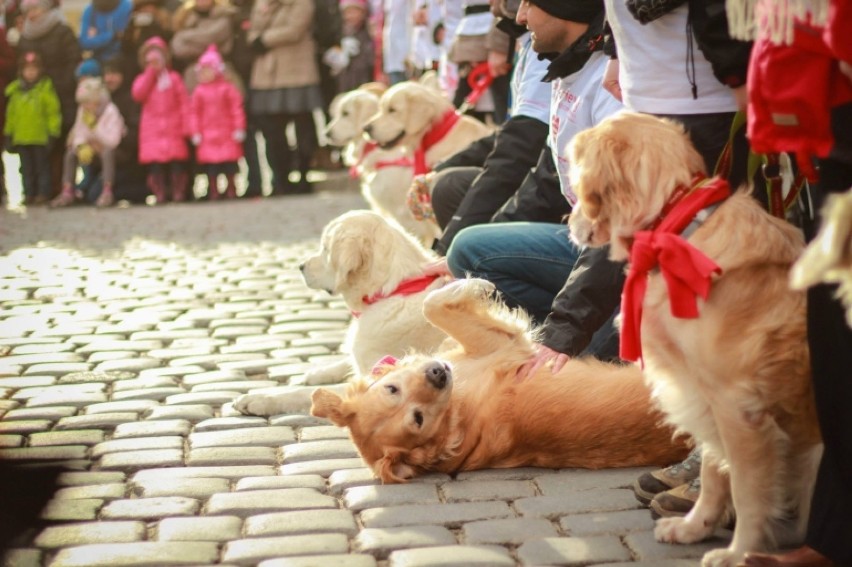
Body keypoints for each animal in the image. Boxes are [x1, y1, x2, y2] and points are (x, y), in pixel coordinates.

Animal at [233, 213, 446, 418]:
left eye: (326, 249)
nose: (301, 266)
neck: (392, 291)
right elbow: (345, 361)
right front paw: (318, 372)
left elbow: (304, 393)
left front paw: (259, 399)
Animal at [568, 112, 824, 567]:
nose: (567, 222)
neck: (676, 227)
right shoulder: (705, 394)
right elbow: (713, 469)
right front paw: (695, 527)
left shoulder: (739, 406)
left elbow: (748, 489)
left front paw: (739, 551)